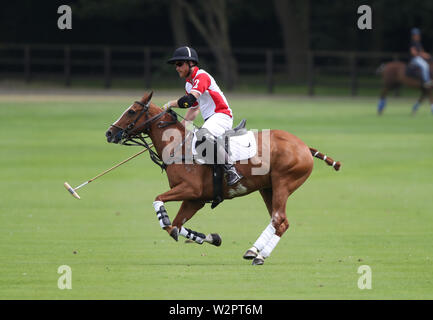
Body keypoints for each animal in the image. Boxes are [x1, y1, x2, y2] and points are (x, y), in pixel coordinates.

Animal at [104, 92, 340, 264]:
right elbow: (175, 227)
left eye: (131, 111)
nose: (109, 133)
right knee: (281, 221)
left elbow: (160, 203)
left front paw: (164, 217)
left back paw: (260, 256)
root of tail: (305, 147)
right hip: (268, 188)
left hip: (284, 182)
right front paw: (211, 238)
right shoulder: (195, 199)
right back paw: (253, 251)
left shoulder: (191, 190)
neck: (179, 147)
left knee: (278, 219)